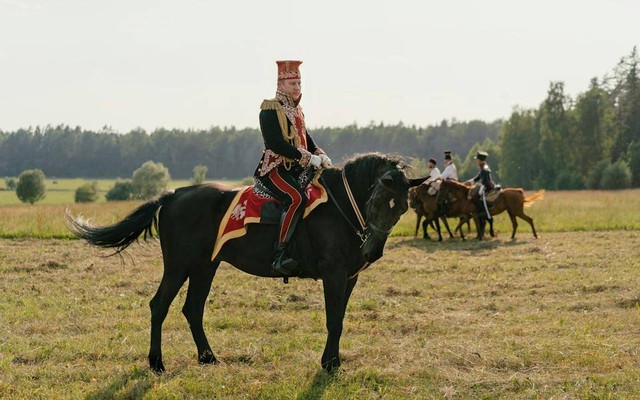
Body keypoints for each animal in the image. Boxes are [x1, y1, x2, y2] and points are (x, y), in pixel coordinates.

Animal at [67, 154, 424, 376]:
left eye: (403, 208)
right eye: (378, 200)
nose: (372, 251)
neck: (340, 207)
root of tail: (173, 195)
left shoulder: (349, 277)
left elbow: (340, 320)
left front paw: (332, 362)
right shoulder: (333, 274)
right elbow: (333, 321)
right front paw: (330, 364)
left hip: (205, 267)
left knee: (192, 309)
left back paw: (208, 357)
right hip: (179, 266)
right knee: (160, 305)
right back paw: (157, 363)